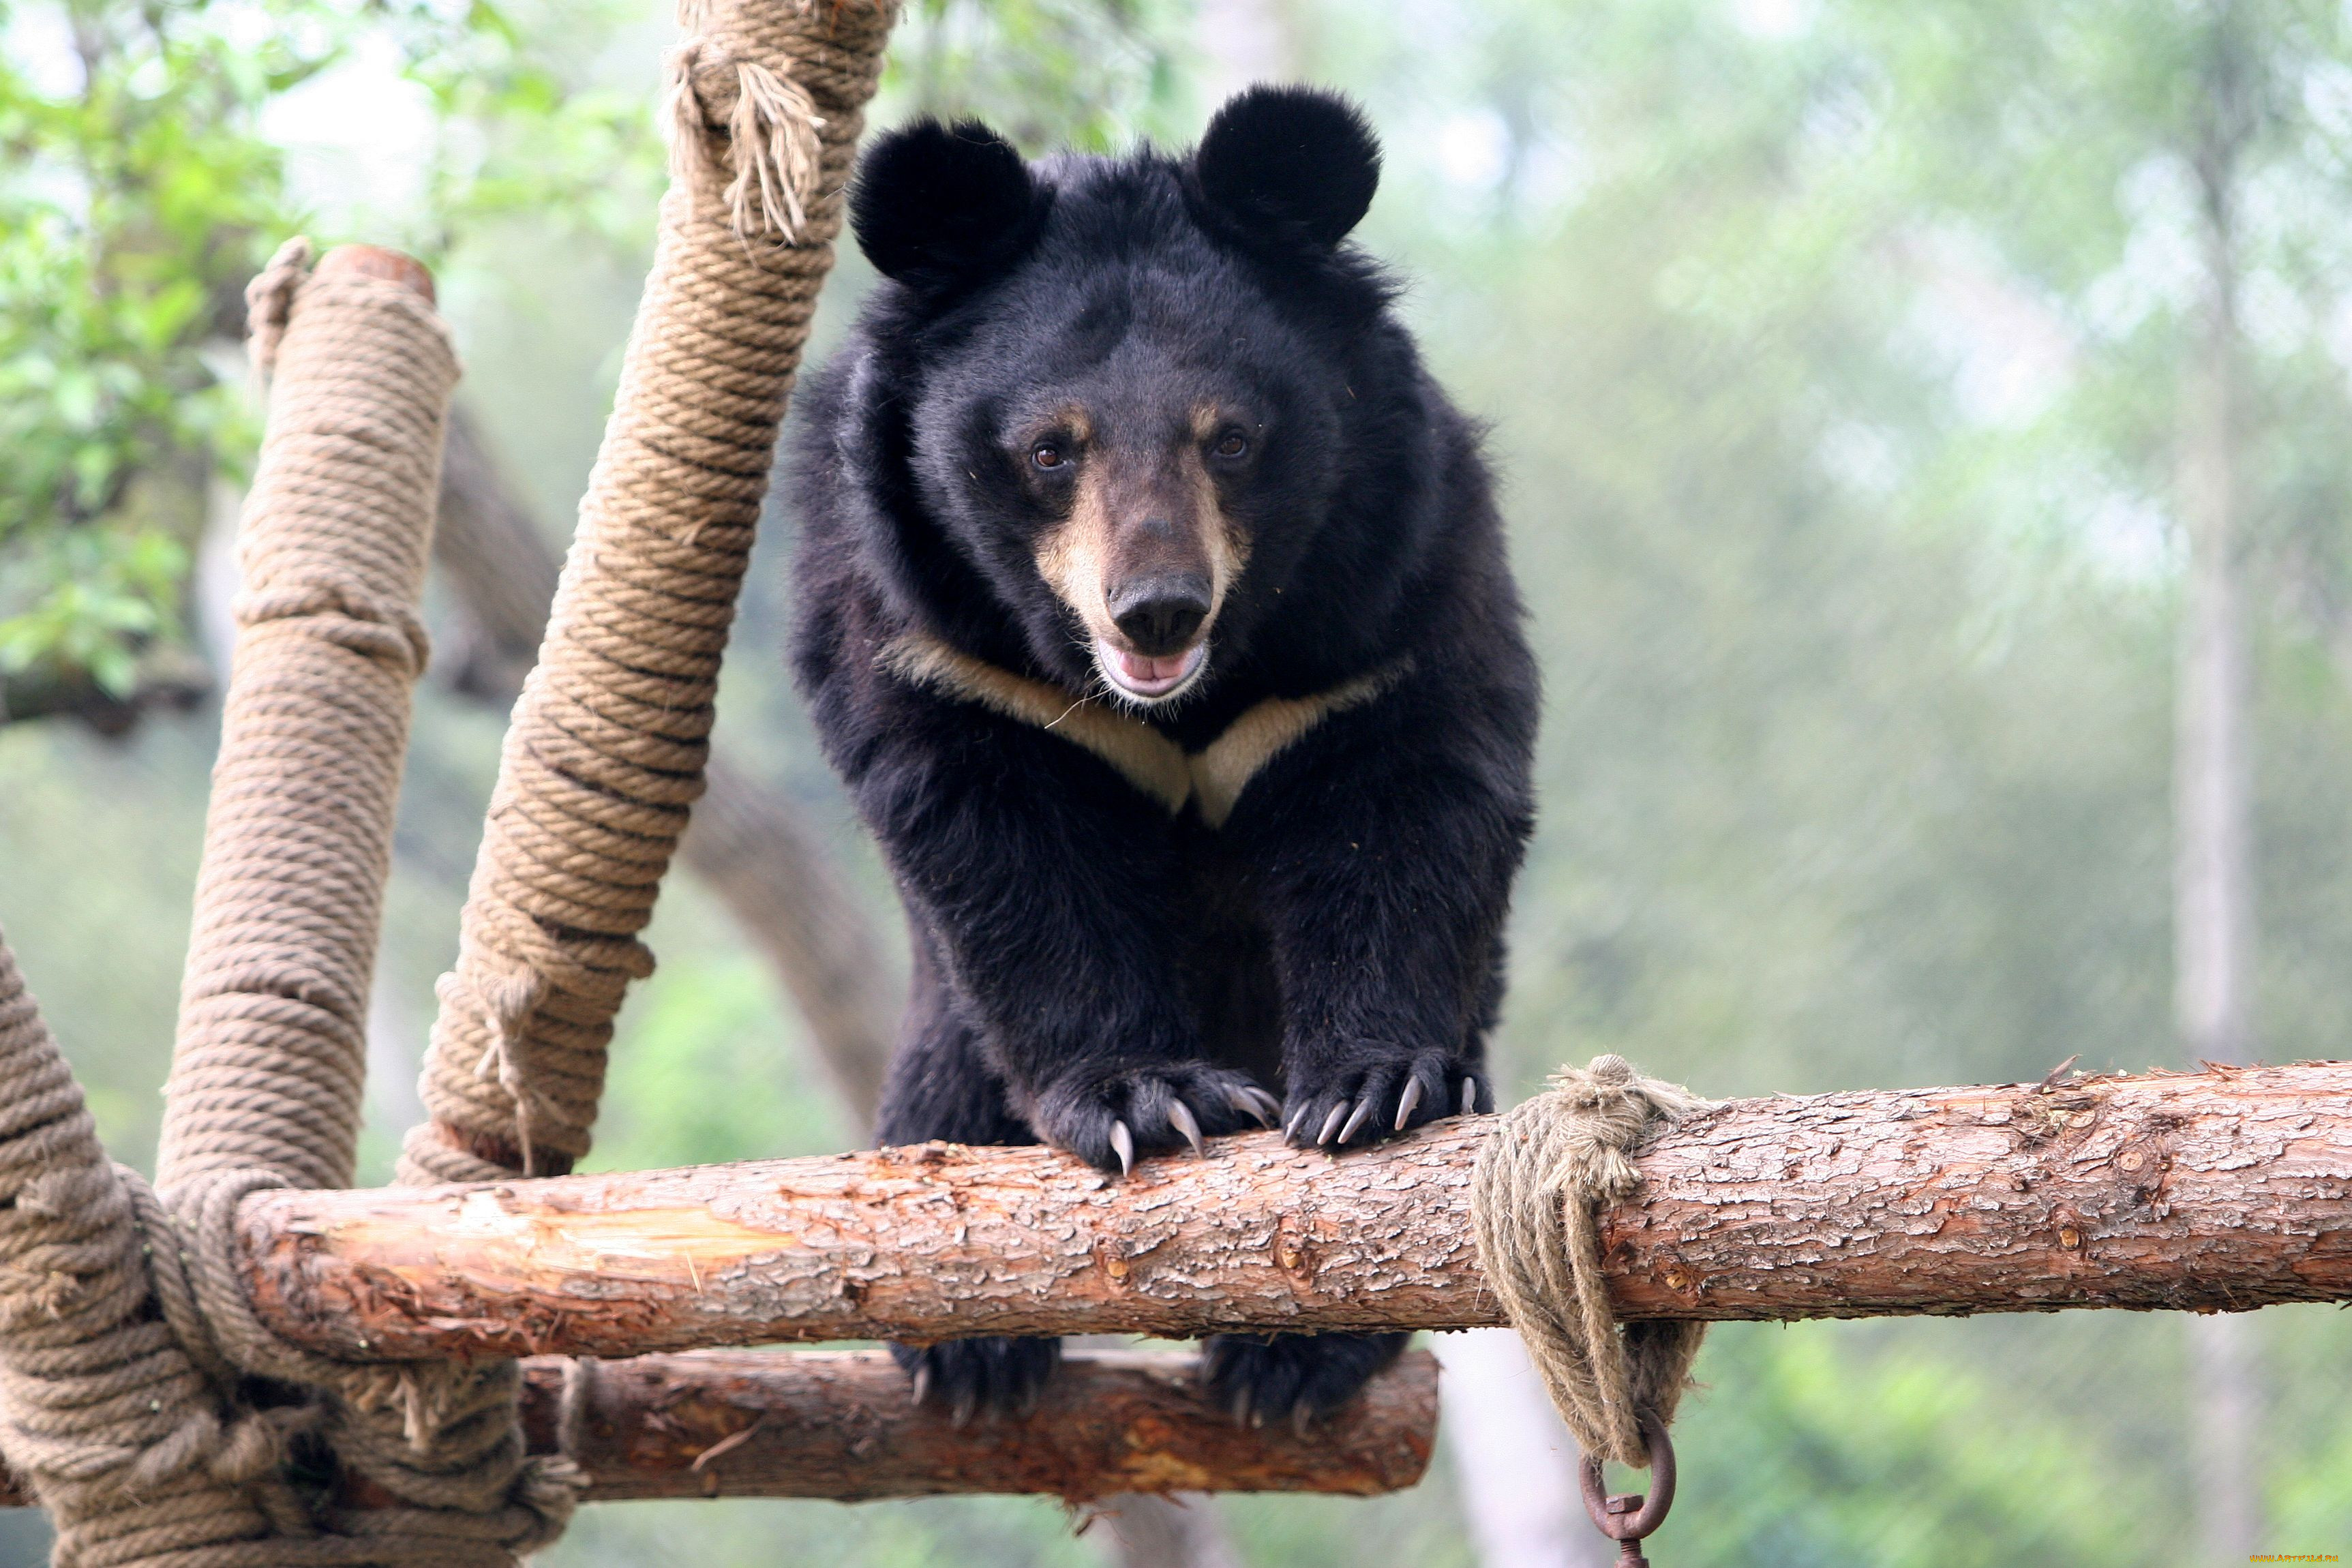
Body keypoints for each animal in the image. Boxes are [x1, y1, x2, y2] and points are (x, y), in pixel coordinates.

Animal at [785, 89, 1543, 1438]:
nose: (1156, 611)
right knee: (946, 1091)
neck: (1187, 697)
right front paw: (1156, 1101)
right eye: (1050, 450)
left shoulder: (1389, 594)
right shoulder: (931, 637)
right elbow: (1010, 854)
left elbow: (1406, 804)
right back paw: (970, 1350)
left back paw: (1293, 1360)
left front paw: (1375, 1090)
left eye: (1229, 440)